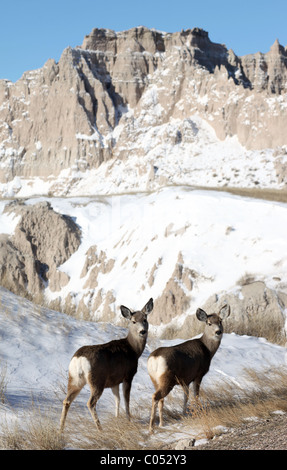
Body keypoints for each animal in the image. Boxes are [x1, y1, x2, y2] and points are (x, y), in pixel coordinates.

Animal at [60, 300, 154, 432]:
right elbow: (126, 399)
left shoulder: (114, 381)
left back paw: (60, 429)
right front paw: (128, 420)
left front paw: (116, 418)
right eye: (133, 321)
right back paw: (100, 429)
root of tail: (79, 360)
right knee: (90, 403)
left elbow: (117, 400)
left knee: (66, 400)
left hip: (74, 379)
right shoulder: (128, 376)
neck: (133, 350)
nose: (142, 331)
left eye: (145, 319)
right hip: (97, 380)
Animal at [147, 304, 231, 434]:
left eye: (220, 321)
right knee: (155, 397)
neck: (208, 349)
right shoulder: (198, 374)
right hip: (167, 379)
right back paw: (151, 428)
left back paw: (161, 424)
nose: (218, 331)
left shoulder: (185, 380)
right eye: (209, 323)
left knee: (160, 399)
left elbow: (186, 396)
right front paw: (197, 411)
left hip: (155, 379)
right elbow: (195, 395)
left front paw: (184, 413)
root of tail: (154, 359)